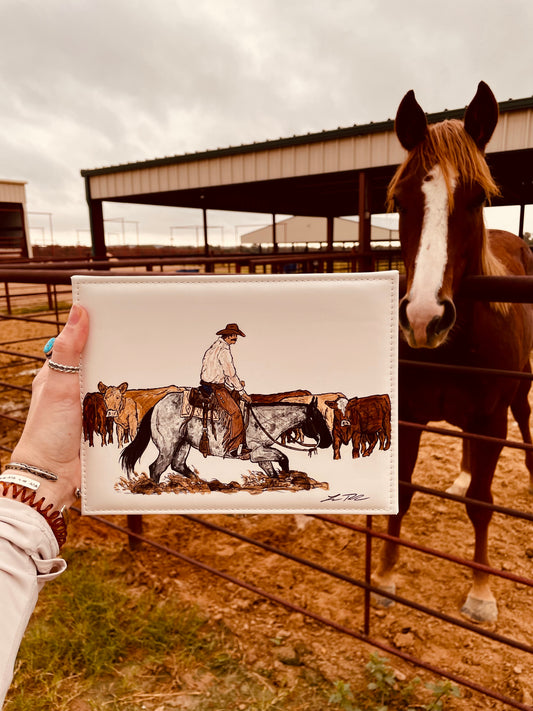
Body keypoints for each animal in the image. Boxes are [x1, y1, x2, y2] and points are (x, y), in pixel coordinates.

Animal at [372, 82, 532, 624]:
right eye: (399, 200)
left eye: (479, 198)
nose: (424, 318)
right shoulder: (409, 417)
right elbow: (401, 492)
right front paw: (385, 575)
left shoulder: (491, 420)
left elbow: (483, 506)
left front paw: (482, 592)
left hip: (517, 398)